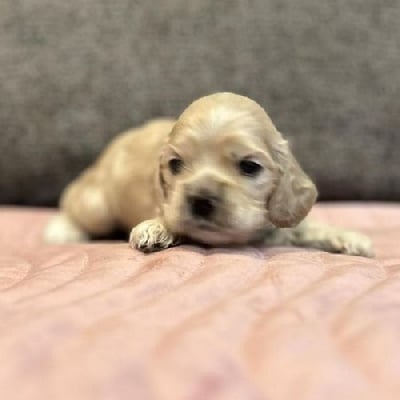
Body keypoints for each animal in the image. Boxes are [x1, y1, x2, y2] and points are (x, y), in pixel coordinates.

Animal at [45, 92, 374, 256]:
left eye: (250, 166)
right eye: (175, 164)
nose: (200, 200)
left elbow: (307, 228)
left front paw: (350, 239)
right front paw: (156, 228)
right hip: (96, 205)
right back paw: (62, 231)